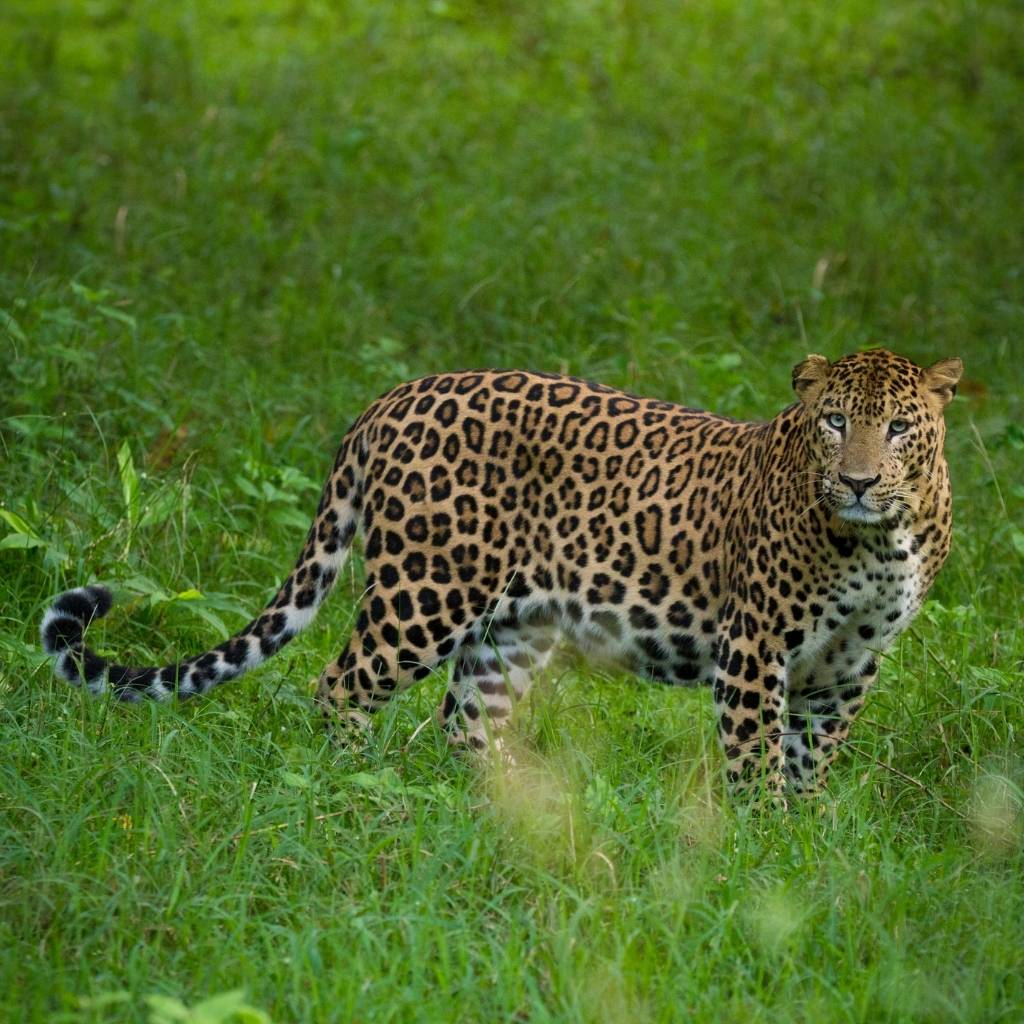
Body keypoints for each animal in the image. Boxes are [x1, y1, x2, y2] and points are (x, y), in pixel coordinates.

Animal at [41, 348, 958, 794]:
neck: (881, 541)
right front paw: (757, 844)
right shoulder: (756, 645)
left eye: (899, 428)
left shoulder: (851, 664)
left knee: (465, 717)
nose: (859, 482)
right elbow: (754, 756)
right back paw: (353, 785)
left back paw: (509, 812)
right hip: (427, 590)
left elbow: (810, 759)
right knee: (340, 685)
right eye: (834, 422)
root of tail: (392, 397)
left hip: (514, 623)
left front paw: (800, 846)